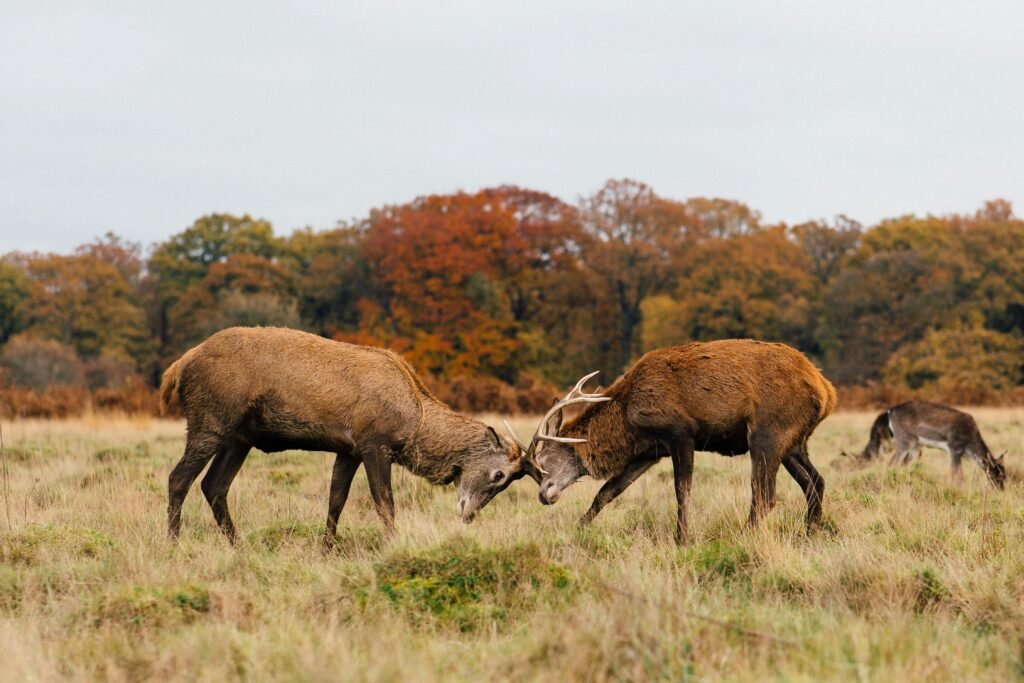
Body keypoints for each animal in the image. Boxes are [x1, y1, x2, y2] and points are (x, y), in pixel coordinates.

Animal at [159, 326, 541, 547]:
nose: (469, 514)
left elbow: (336, 500)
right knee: (178, 478)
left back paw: (238, 545)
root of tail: (179, 366)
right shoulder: (374, 443)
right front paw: (393, 544)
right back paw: (173, 545)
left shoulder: (349, 450)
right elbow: (384, 502)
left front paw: (327, 548)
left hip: (240, 437)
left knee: (214, 485)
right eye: (499, 474)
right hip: (210, 420)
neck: (413, 421)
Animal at [504, 340, 837, 544]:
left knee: (765, 494)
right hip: (794, 443)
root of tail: (826, 392)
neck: (627, 417)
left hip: (768, 432)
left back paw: (741, 537)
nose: (543, 495)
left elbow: (682, 491)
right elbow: (607, 492)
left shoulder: (680, 432)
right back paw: (810, 535)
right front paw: (578, 529)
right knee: (815, 482)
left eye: (543, 462)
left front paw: (682, 540)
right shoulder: (649, 451)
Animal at [854, 400, 1006, 489]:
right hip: (903, 440)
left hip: (914, 446)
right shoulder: (954, 448)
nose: (1001, 489)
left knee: (902, 465)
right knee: (892, 463)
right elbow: (956, 473)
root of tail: (888, 412)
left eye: (1005, 474)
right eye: (995, 474)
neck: (970, 447)